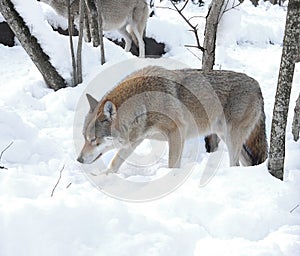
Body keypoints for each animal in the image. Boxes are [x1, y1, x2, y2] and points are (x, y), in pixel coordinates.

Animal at [77, 66, 268, 173]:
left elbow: (172, 165)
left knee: (235, 164)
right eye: (84, 138)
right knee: (247, 162)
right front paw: (104, 178)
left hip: (231, 138)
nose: (78, 160)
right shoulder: (136, 140)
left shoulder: (176, 132)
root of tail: (257, 85)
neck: (145, 103)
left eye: (93, 140)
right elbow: (115, 162)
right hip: (226, 137)